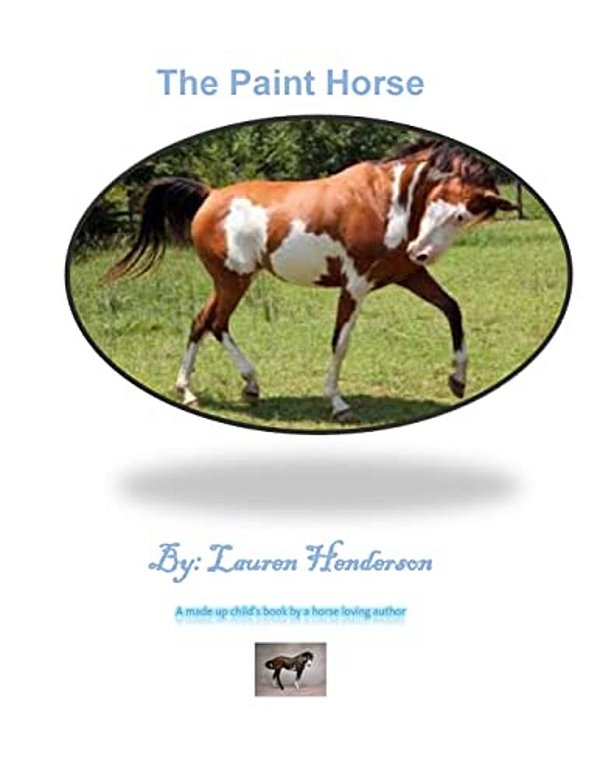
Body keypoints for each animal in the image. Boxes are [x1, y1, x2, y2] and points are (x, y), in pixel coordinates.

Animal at [105, 138, 517, 422]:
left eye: (465, 218)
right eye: (448, 209)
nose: (420, 252)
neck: (386, 201)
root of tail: (210, 195)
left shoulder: (409, 276)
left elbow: (452, 309)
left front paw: (457, 380)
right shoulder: (356, 285)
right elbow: (340, 342)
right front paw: (337, 403)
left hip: (230, 280)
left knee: (201, 322)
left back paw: (194, 390)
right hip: (233, 280)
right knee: (216, 323)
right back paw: (239, 383)